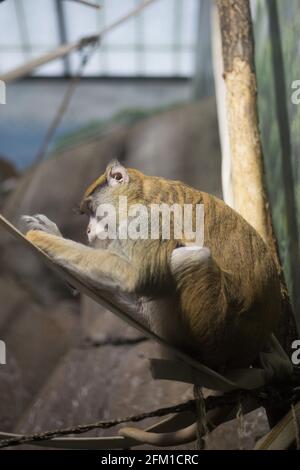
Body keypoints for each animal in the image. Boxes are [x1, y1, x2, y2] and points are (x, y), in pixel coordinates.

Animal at [21, 162, 282, 370]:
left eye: (93, 211)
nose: (87, 230)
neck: (141, 194)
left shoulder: (149, 219)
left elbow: (135, 277)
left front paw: (39, 238)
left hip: (215, 333)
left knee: (192, 258)